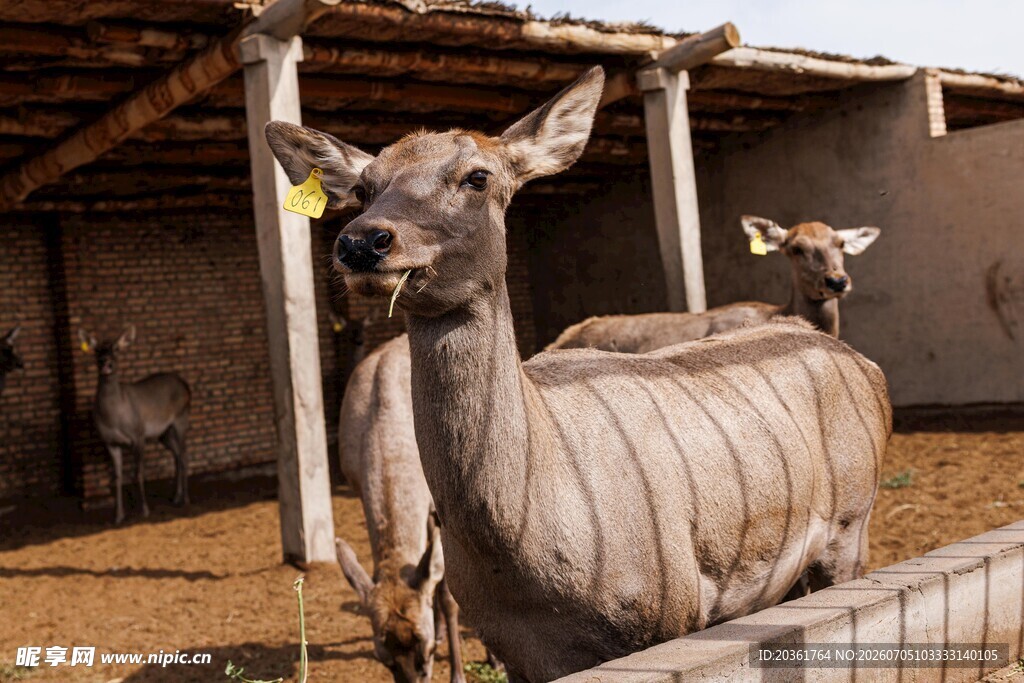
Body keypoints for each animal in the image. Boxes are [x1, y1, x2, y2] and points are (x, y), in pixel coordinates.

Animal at [79, 326, 191, 525]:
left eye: (116, 348)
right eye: (97, 350)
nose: (105, 363)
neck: (114, 417)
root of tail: (186, 386)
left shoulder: (138, 435)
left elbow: (137, 473)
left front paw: (144, 510)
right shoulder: (111, 442)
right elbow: (117, 478)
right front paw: (118, 516)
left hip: (181, 418)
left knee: (184, 455)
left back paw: (185, 499)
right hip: (164, 432)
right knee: (177, 454)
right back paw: (176, 497)